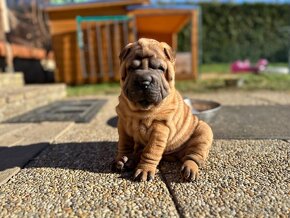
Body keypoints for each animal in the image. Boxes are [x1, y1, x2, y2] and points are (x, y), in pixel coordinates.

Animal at [114, 38, 213, 181]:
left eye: (160, 68)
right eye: (132, 68)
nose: (144, 81)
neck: (140, 111)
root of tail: (173, 155)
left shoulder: (160, 128)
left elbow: (151, 150)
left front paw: (144, 170)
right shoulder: (123, 123)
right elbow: (124, 143)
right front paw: (121, 158)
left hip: (203, 131)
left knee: (193, 156)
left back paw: (189, 169)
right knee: (138, 150)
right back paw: (129, 160)